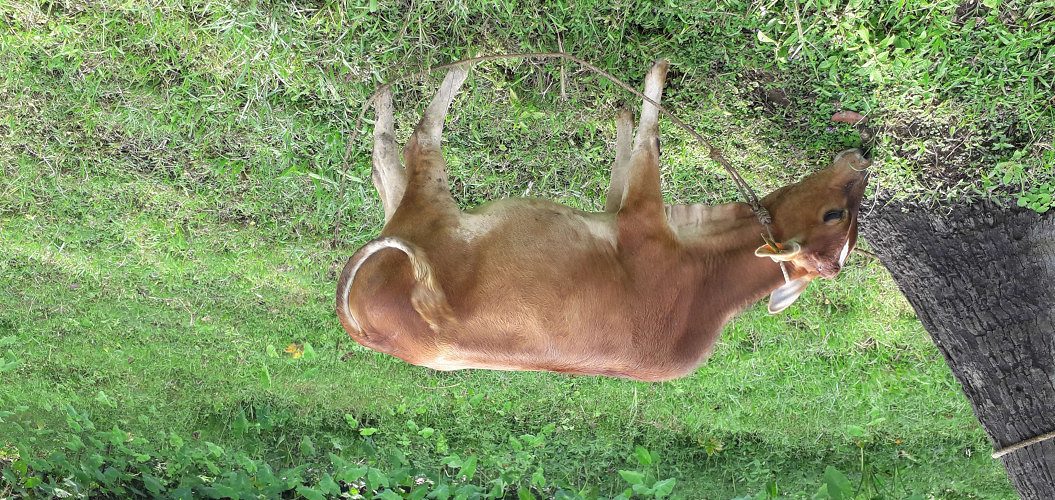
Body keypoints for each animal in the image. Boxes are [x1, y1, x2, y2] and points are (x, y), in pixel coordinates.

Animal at [336, 60, 870, 382]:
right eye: (838, 215)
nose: (862, 160)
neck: (708, 274)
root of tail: (361, 325)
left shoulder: (639, 213)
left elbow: (648, 143)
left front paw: (648, 87)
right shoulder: (626, 210)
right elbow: (641, 141)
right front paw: (632, 103)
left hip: (427, 207)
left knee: (410, 142)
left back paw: (448, 69)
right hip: (415, 208)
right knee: (394, 154)